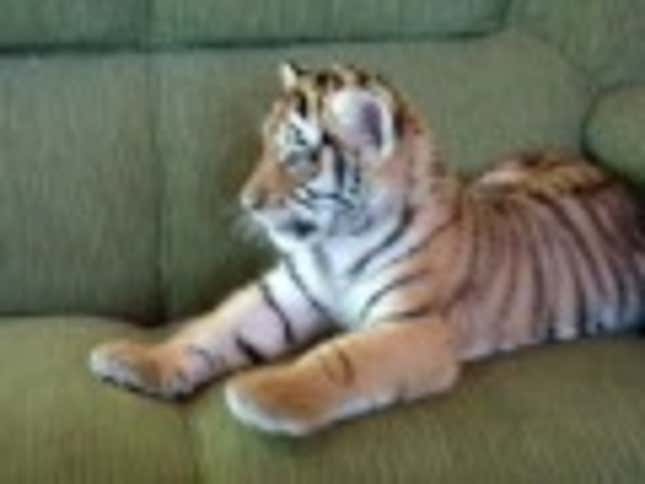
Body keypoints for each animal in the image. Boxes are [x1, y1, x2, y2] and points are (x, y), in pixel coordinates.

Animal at [89, 62, 645, 436]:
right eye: (265, 146)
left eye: (298, 157)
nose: (247, 202)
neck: (335, 243)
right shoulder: (287, 293)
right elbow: (216, 326)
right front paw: (138, 360)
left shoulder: (415, 327)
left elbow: (339, 359)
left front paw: (261, 392)